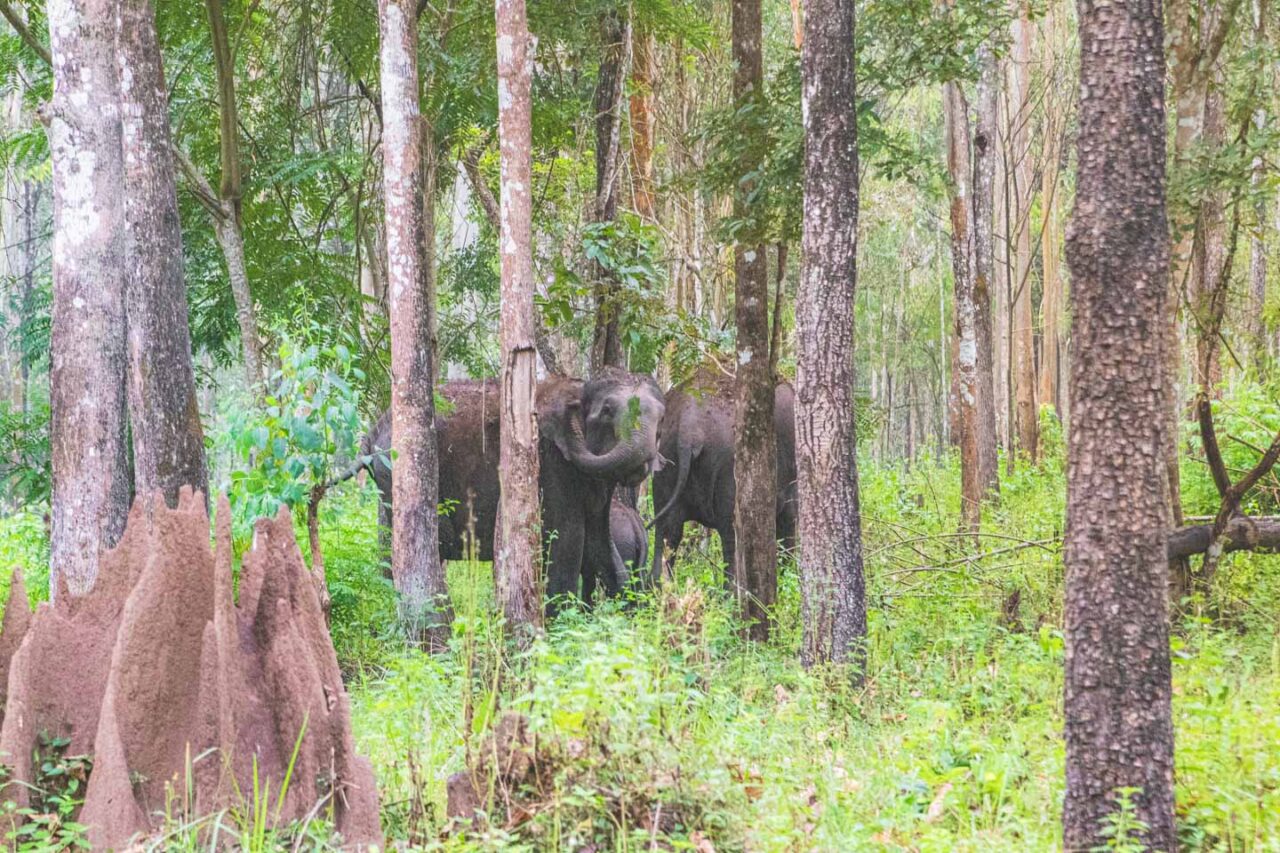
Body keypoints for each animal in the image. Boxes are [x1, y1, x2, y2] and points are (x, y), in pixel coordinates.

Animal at [357, 369, 666, 609]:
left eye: (661, 418)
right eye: (607, 411)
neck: (579, 385)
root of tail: (373, 431)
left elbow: (598, 543)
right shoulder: (551, 464)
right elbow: (567, 541)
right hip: (392, 469)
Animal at [650, 371, 797, 583]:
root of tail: (688, 425)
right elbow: (789, 518)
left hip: (664, 461)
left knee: (667, 530)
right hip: (729, 468)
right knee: (731, 534)